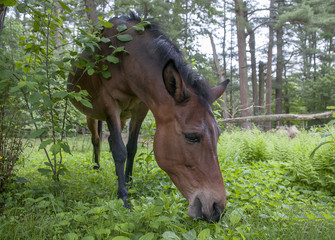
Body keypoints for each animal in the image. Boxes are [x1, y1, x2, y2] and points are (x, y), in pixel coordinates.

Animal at [69, 12, 231, 222]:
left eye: (217, 135)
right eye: (192, 136)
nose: (217, 208)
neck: (125, 59)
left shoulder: (141, 107)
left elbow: (131, 148)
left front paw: (128, 182)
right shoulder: (110, 104)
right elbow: (119, 151)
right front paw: (124, 198)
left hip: (122, 117)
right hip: (93, 115)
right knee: (97, 140)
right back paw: (96, 168)